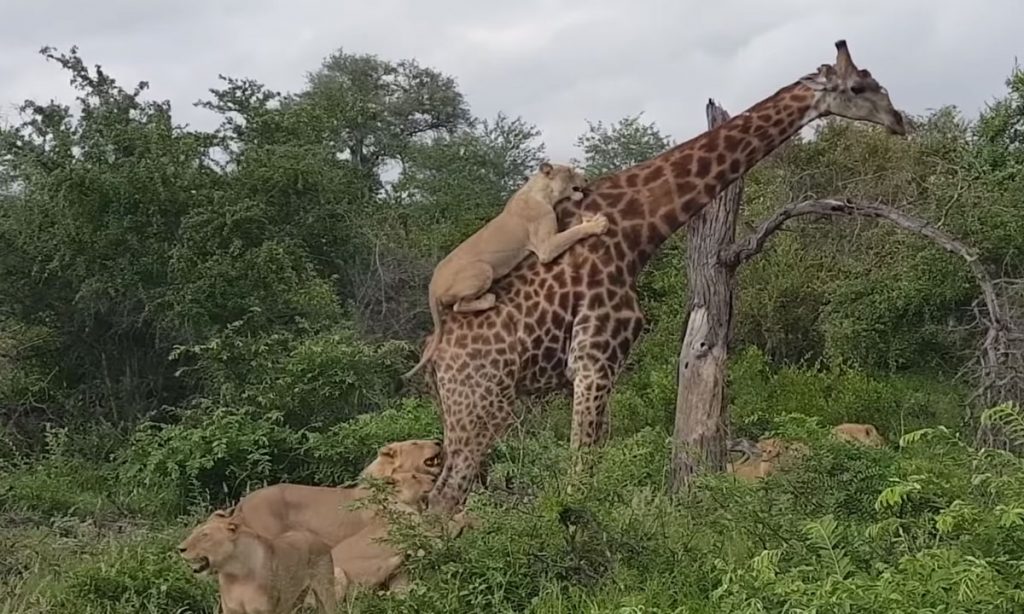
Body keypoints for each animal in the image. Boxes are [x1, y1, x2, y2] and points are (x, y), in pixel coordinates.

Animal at [177, 513, 335, 614]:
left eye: (204, 535)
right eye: (194, 532)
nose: (180, 548)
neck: (235, 574)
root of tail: (316, 537)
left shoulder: (265, 610)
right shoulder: (231, 610)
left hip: (326, 593)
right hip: (295, 599)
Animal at [419, 40, 909, 515]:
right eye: (859, 87)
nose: (899, 121)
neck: (638, 231)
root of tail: (435, 355)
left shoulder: (608, 365)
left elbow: (594, 463)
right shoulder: (593, 358)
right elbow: (581, 474)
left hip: (459, 408)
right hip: (483, 404)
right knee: (443, 499)